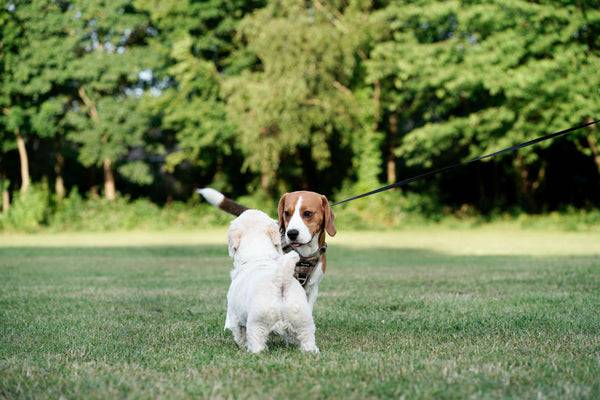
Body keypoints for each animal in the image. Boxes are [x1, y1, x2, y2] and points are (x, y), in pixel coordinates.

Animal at [225, 209, 318, 354]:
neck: (258, 255)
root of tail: (281, 280)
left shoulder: (235, 316)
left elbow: (239, 334)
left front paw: (242, 346)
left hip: (257, 323)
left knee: (257, 341)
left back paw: (254, 352)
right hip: (304, 320)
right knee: (307, 339)